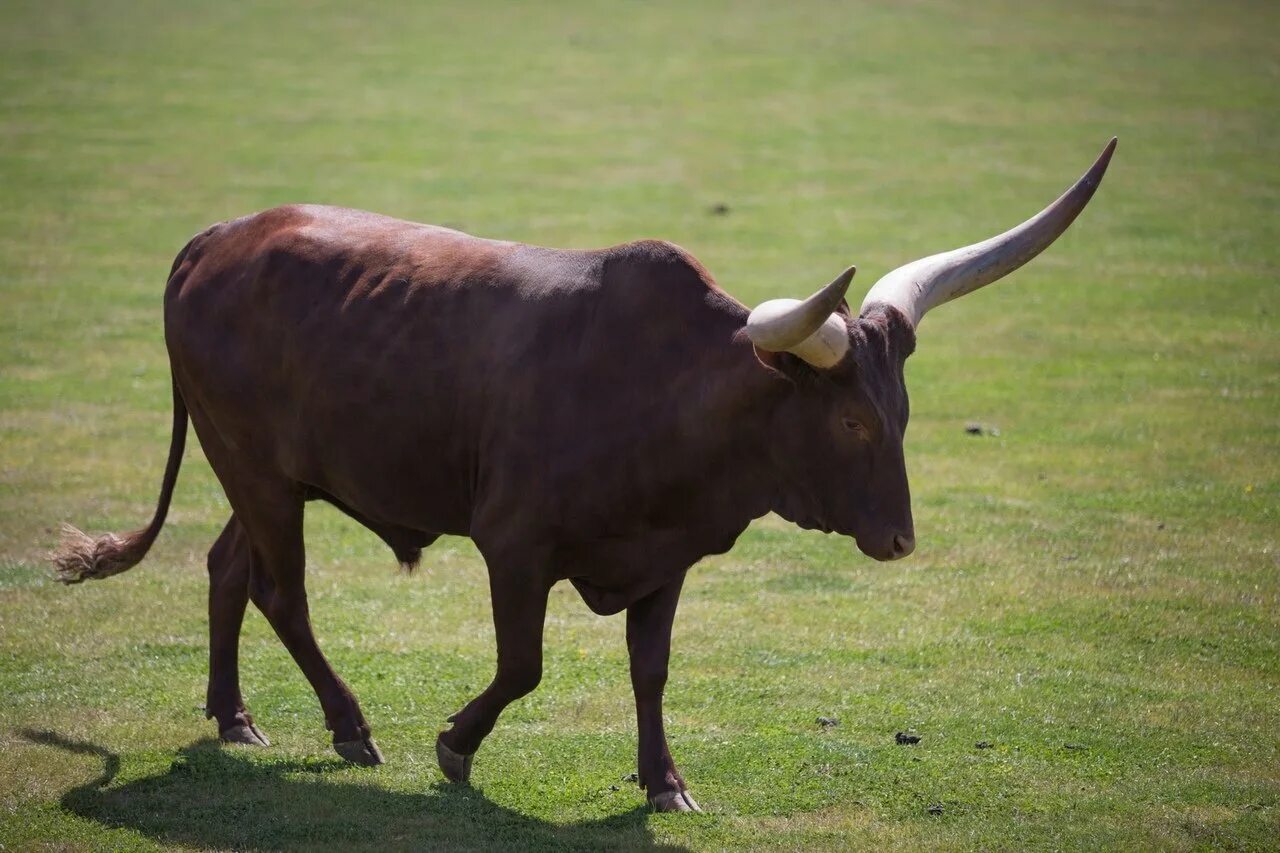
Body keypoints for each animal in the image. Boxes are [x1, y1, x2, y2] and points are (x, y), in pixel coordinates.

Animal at [52, 139, 1111, 809]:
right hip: (259, 473)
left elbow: (651, 668)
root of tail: (220, 236)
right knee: (282, 590)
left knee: (229, 568)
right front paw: (455, 744)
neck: (664, 394)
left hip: (267, 473)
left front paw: (665, 780)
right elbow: (524, 664)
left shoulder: (665, 559)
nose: (899, 540)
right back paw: (349, 725)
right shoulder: (514, 546)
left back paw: (234, 717)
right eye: (851, 418)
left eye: (901, 414)